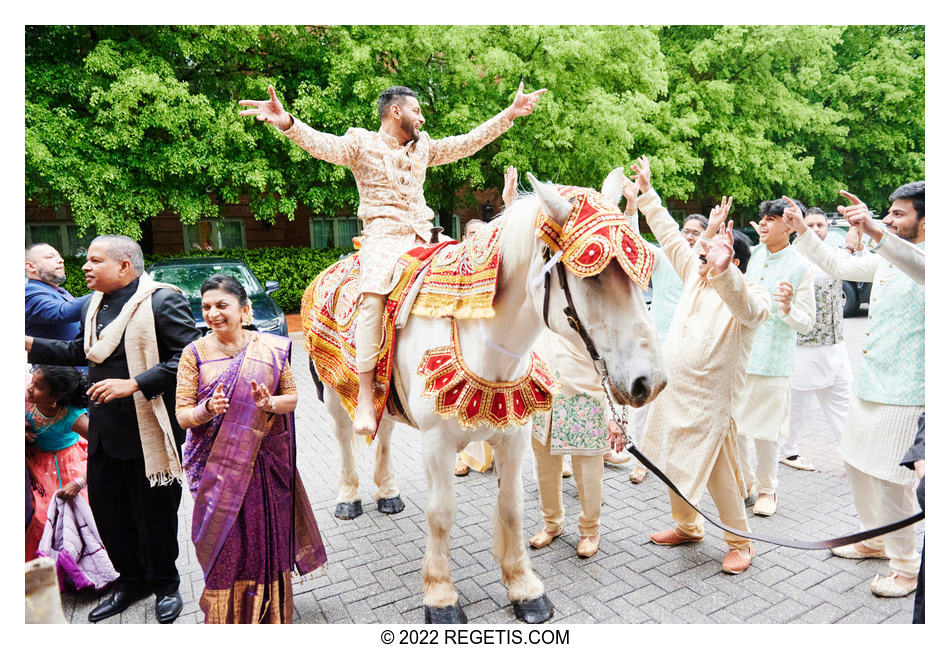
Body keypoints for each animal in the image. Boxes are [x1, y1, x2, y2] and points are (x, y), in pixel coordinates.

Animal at [316, 168, 664, 624]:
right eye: (593, 274)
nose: (650, 382)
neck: (482, 336)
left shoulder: (513, 437)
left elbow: (512, 507)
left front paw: (524, 588)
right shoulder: (437, 443)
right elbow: (441, 514)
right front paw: (440, 596)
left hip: (385, 398)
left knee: (385, 432)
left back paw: (388, 493)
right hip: (334, 391)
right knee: (343, 438)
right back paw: (348, 497)